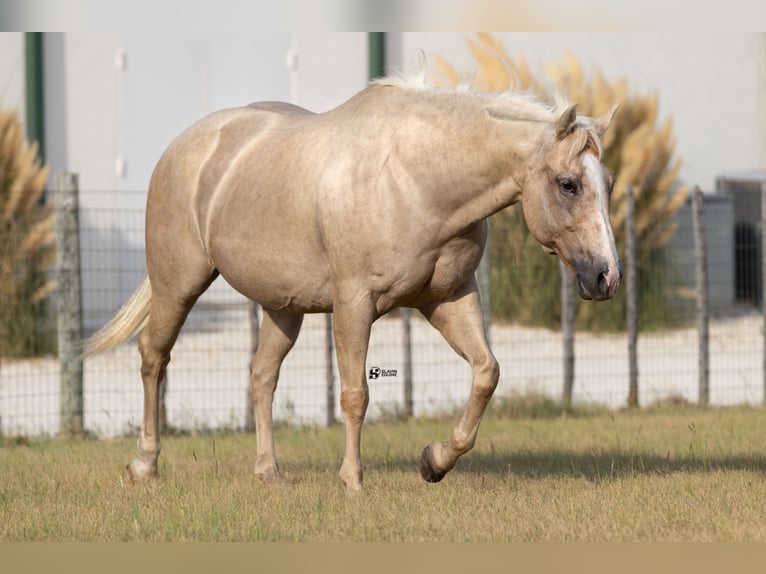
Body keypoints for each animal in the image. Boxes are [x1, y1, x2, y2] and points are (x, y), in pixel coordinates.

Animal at [83, 68, 621, 494]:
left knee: (261, 376)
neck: (415, 178)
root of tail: (185, 146)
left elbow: (486, 373)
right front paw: (353, 481)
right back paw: (144, 465)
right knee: (153, 358)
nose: (606, 276)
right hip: (178, 283)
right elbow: (355, 395)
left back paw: (269, 472)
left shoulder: (449, 298)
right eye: (568, 184)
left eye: (609, 184)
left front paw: (434, 462)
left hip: (283, 308)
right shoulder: (354, 304)